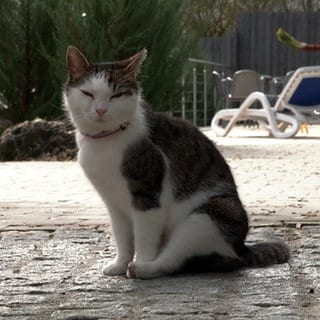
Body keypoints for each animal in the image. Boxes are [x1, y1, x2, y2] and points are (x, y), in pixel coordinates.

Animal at [62, 46, 290, 278]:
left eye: (116, 94)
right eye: (87, 93)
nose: (100, 110)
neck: (105, 143)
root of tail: (242, 249)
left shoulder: (148, 196)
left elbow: (144, 238)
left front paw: (139, 262)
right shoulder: (114, 205)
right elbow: (122, 237)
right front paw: (119, 264)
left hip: (207, 217)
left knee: (172, 260)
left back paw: (142, 269)